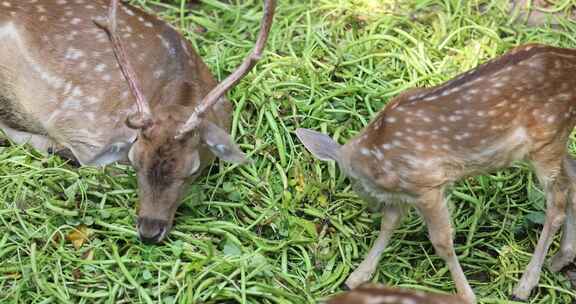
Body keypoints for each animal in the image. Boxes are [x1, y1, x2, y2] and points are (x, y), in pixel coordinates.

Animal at [296, 44, 576, 302]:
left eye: (353, 182)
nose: (371, 206)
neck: (376, 156)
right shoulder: (404, 194)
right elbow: (389, 223)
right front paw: (356, 277)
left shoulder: (427, 185)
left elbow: (442, 242)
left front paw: (467, 295)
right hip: (553, 142)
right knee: (571, 176)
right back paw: (561, 258)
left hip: (547, 139)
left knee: (556, 204)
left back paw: (524, 286)